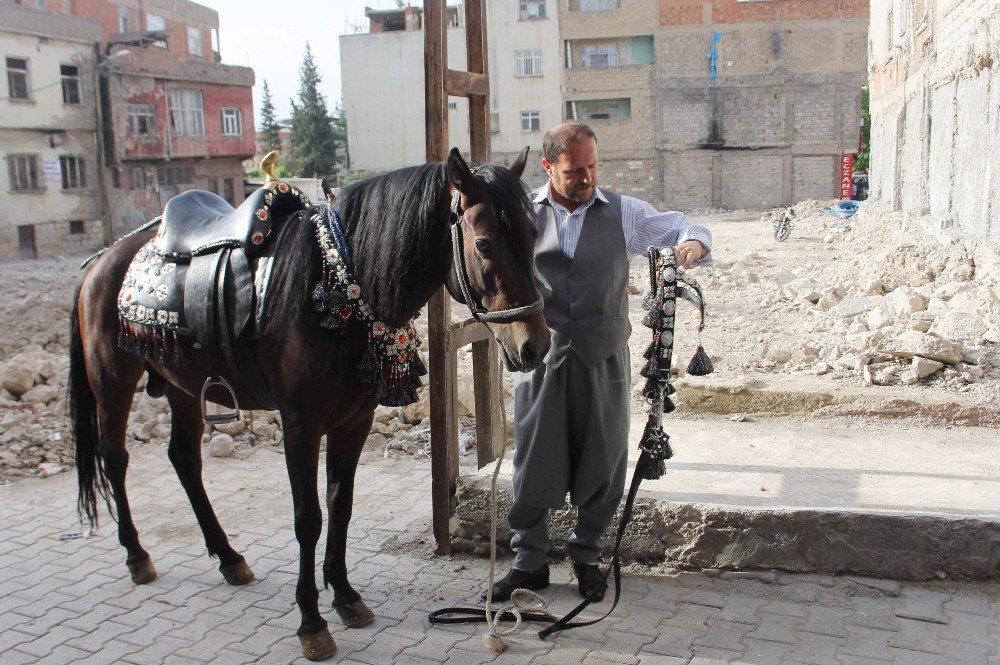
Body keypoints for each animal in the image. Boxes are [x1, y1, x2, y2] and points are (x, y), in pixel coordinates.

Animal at [70, 147, 552, 660]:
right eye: (484, 244)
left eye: (533, 236)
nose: (535, 346)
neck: (335, 281)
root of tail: (106, 257)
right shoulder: (301, 424)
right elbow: (308, 518)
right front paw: (311, 622)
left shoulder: (353, 421)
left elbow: (341, 505)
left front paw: (345, 596)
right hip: (113, 381)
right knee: (114, 458)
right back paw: (137, 555)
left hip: (182, 386)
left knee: (184, 460)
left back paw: (229, 558)